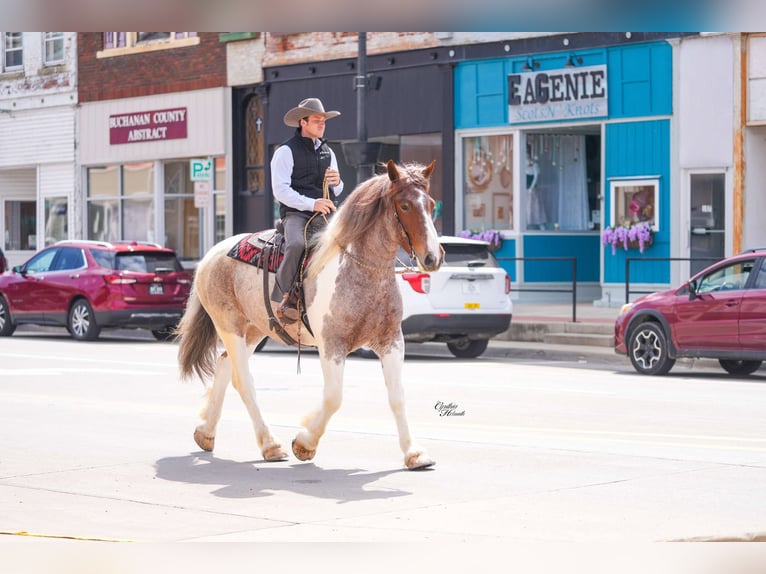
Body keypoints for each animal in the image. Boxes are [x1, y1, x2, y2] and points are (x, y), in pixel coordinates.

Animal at [175, 160, 442, 470]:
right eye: (405, 205)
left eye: (431, 204)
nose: (433, 257)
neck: (363, 270)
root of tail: (211, 254)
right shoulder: (332, 345)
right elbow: (334, 397)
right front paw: (304, 443)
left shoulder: (391, 341)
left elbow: (397, 396)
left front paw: (414, 453)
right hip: (230, 327)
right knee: (243, 382)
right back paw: (270, 444)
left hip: (254, 330)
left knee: (224, 366)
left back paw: (206, 433)